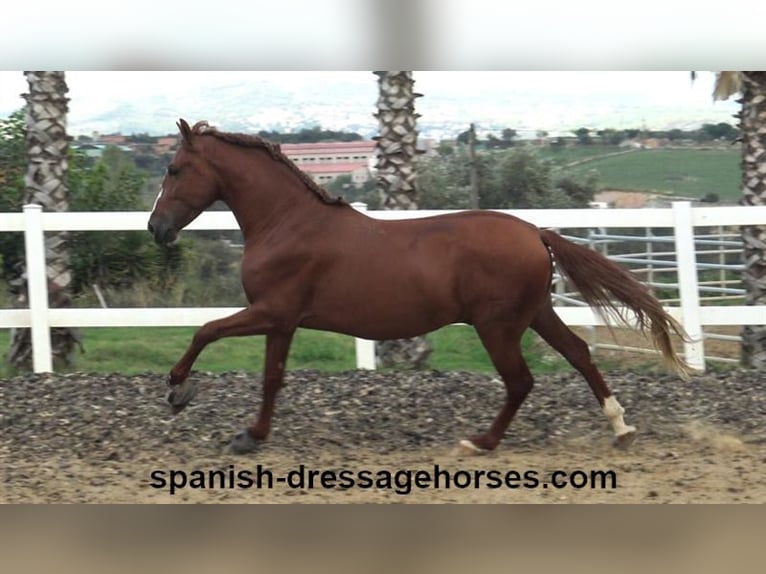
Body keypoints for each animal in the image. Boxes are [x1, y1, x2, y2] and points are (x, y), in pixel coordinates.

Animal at [147, 119, 692, 456]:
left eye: (174, 169)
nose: (157, 229)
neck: (287, 223)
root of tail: (535, 232)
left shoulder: (270, 312)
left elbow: (205, 330)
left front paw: (178, 391)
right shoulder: (281, 322)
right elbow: (271, 378)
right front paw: (251, 436)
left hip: (497, 326)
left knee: (521, 381)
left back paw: (480, 442)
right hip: (537, 313)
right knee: (578, 354)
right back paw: (621, 427)